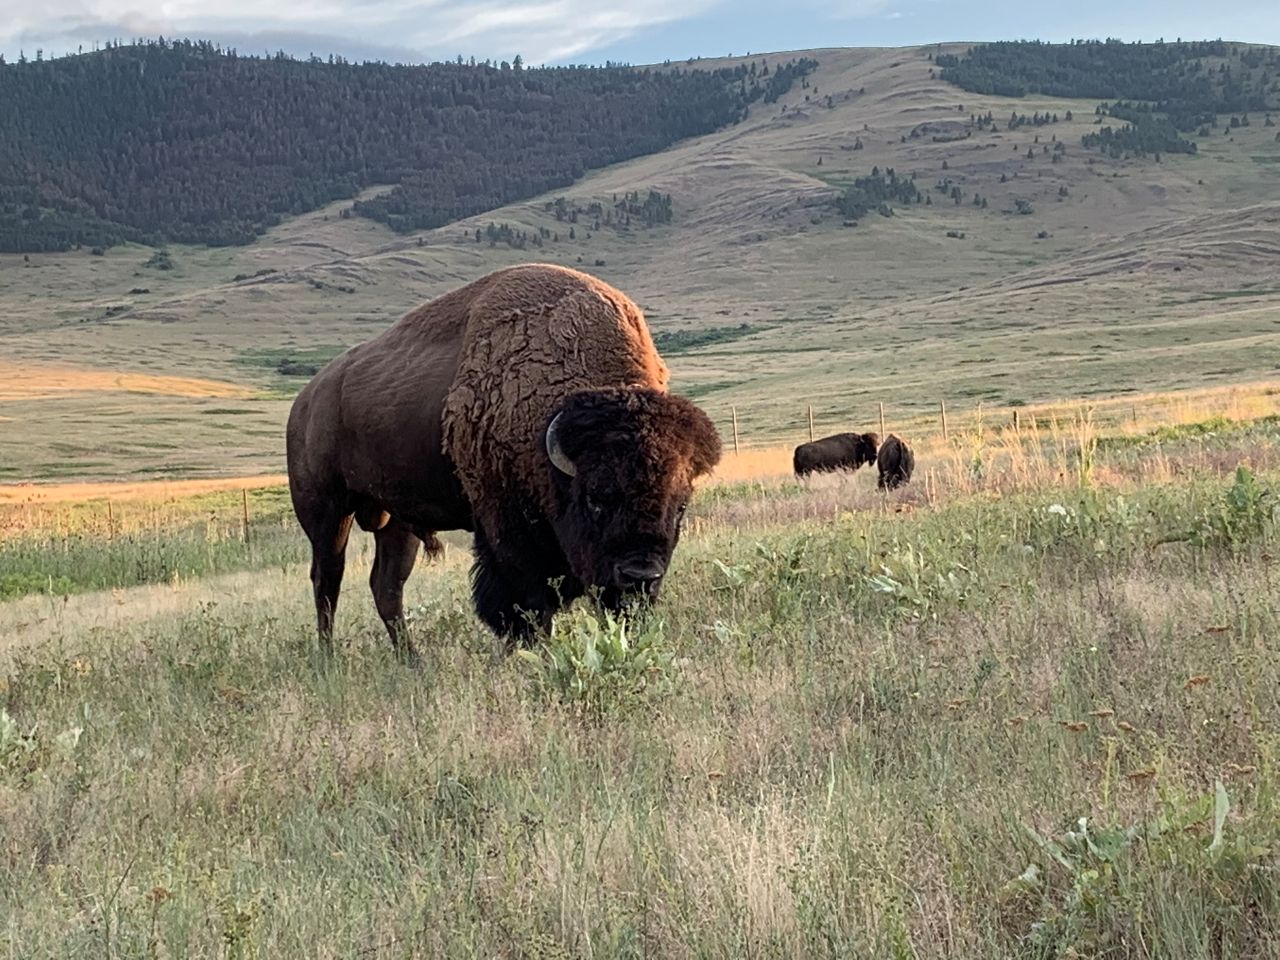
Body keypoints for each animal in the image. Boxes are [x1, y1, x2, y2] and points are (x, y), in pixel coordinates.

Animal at [286, 264, 722, 656]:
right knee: (327, 581)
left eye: (681, 505)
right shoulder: (505, 526)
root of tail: (304, 401)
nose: (639, 576)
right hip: (328, 514)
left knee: (387, 586)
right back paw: (329, 660)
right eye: (596, 497)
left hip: (397, 521)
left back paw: (412, 661)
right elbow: (525, 601)